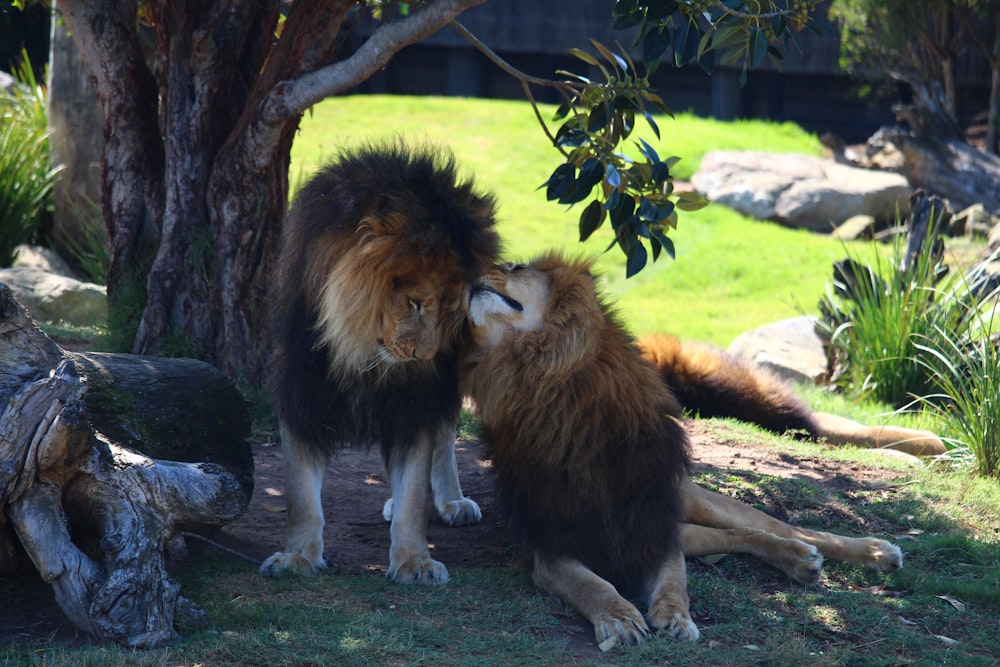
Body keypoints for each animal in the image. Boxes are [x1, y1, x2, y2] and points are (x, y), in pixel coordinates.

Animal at [262, 145, 500, 584]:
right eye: (415, 302)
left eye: (451, 311)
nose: (424, 356)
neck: (359, 350)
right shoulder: (303, 389)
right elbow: (300, 493)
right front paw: (296, 557)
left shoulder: (416, 401)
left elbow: (414, 493)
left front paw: (414, 561)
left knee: (445, 436)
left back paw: (453, 501)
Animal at [460, 256, 908, 652]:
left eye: (516, 267)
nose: (471, 268)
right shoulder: (553, 548)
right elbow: (594, 585)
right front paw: (620, 618)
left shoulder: (654, 527)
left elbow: (676, 582)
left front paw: (677, 617)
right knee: (739, 537)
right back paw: (802, 561)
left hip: (697, 503)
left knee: (788, 528)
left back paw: (869, 552)